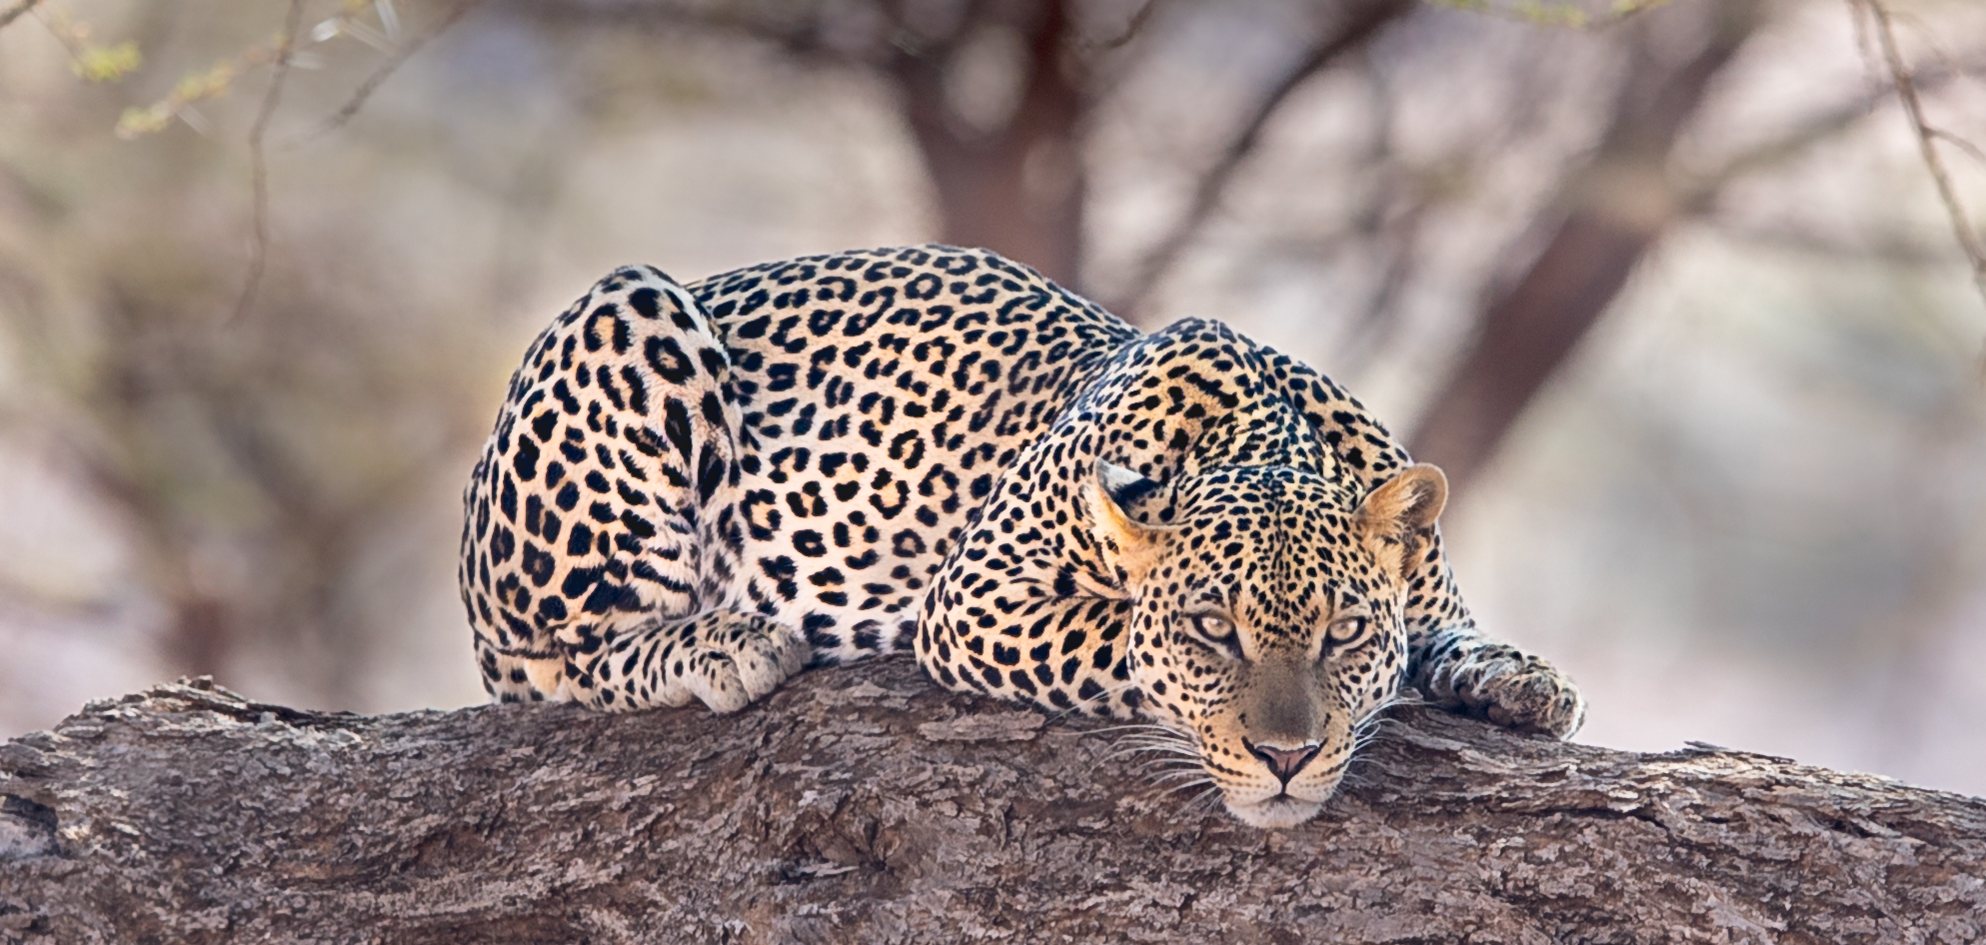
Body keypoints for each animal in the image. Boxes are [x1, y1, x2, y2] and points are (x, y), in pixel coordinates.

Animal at [458, 244, 1584, 827]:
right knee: (556, 657)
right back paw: (727, 642)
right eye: (1211, 632)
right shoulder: (974, 601)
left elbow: (1446, 631)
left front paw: (1523, 677)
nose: (1287, 758)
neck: (1261, 429)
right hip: (623, 318)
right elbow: (1113, 645)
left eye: (1343, 631)